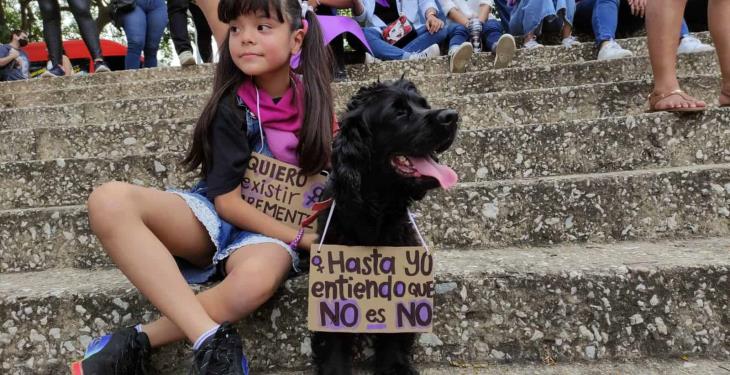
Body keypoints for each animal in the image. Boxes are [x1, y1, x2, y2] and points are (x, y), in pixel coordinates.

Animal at [310, 80, 458, 375]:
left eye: (423, 104)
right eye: (399, 112)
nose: (452, 116)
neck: (374, 207)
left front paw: (394, 365)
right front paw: (334, 367)